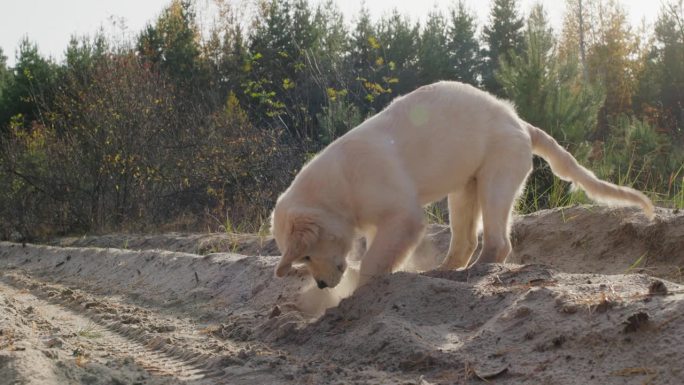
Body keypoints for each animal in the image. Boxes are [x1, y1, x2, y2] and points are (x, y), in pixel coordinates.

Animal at [270, 81, 656, 288]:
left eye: (306, 254)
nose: (321, 285)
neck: (340, 185)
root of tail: (520, 122)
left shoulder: (403, 216)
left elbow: (373, 261)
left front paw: (357, 294)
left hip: (495, 177)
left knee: (498, 242)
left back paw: (477, 271)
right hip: (464, 188)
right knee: (466, 241)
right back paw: (442, 272)